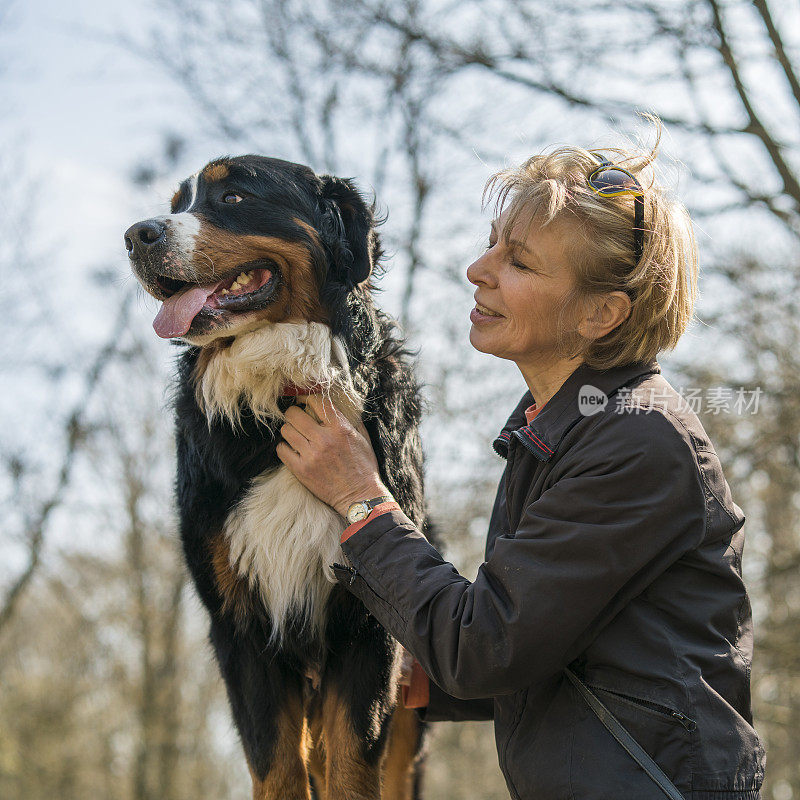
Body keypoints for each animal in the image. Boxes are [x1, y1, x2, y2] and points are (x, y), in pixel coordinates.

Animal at [123, 158, 432, 800]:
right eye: (178, 202)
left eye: (234, 196)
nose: (137, 235)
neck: (282, 398)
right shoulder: (240, 625)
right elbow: (278, 767)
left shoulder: (368, 626)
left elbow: (350, 767)